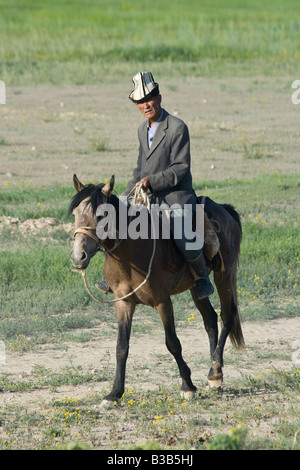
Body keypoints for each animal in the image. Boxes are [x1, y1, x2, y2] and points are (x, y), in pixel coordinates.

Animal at [68, 174, 244, 406]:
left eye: (101, 215)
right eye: (75, 214)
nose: (78, 257)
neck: (132, 255)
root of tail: (225, 210)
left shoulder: (162, 301)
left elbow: (173, 343)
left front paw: (187, 386)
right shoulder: (123, 303)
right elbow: (121, 347)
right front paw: (114, 394)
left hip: (225, 274)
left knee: (227, 315)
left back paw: (215, 373)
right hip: (197, 287)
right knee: (210, 319)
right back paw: (215, 374)